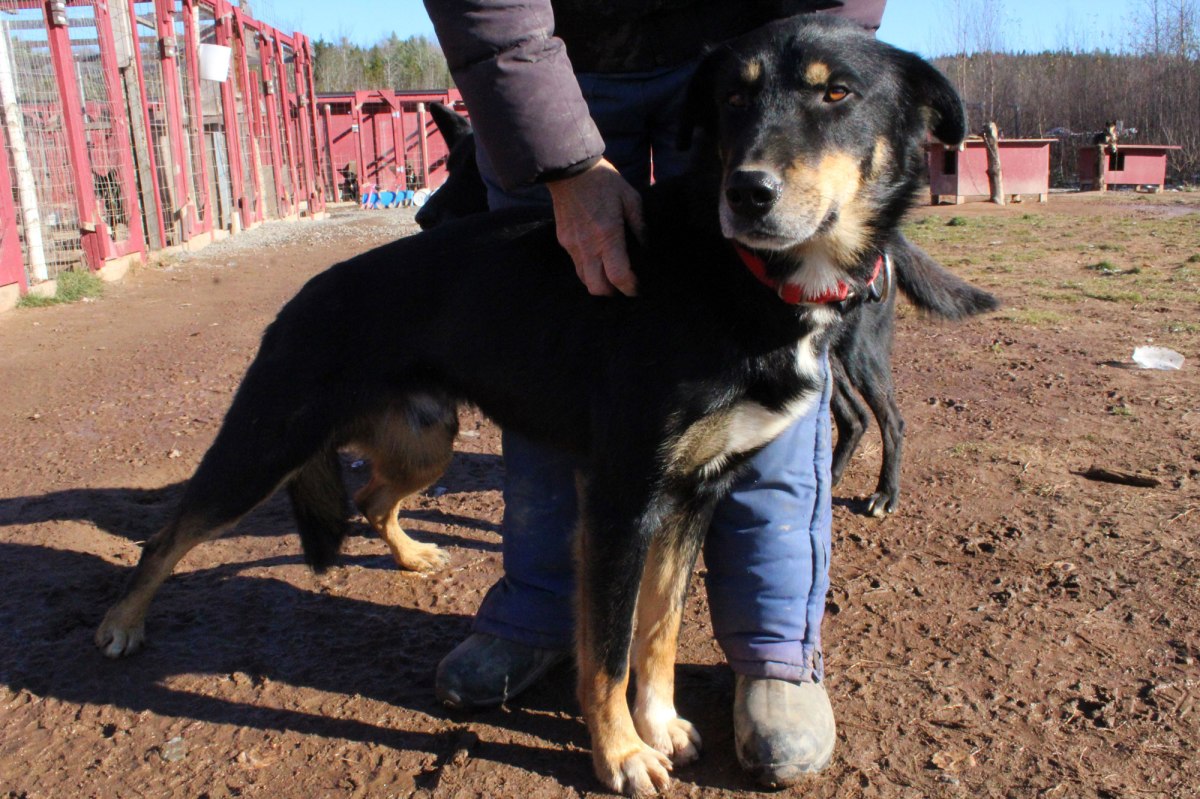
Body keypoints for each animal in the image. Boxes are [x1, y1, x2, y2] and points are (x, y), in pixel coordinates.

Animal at [418, 104, 997, 517]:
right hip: (822, 362)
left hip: (860, 354)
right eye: (450, 164)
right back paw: (830, 480)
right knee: (852, 417)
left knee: (891, 419)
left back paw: (885, 494)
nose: (424, 217)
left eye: (472, 171)